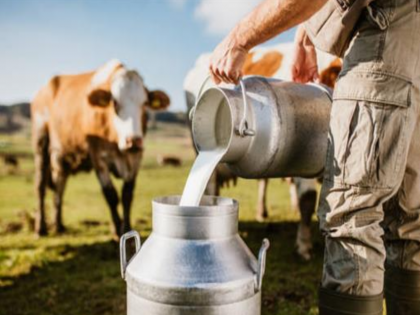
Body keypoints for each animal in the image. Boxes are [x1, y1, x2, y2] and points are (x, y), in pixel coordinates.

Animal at [31, 59, 170, 237]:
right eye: (115, 103)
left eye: (145, 103)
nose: (133, 140)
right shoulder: (98, 157)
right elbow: (111, 195)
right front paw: (117, 230)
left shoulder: (135, 158)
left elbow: (127, 195)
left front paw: (126, 227)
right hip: (41, 142)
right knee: (40, 186)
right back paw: (40, 227)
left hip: (62, 157)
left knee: (60, 187)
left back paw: (59, 225)